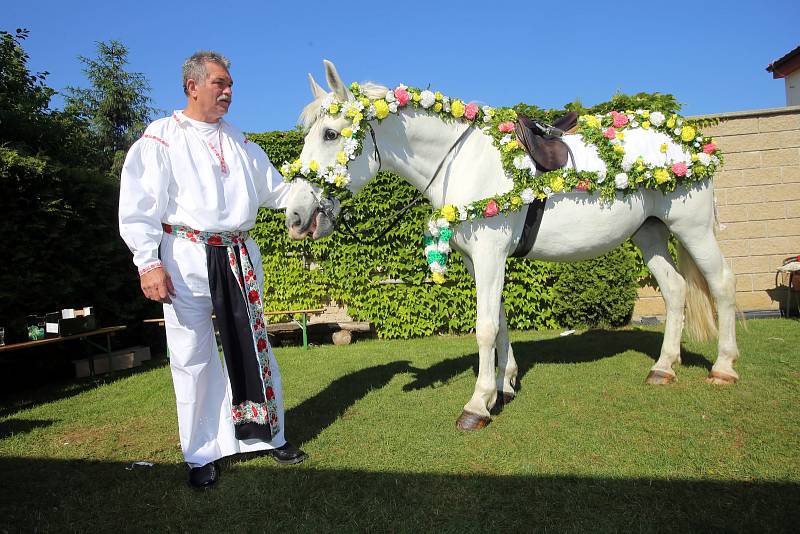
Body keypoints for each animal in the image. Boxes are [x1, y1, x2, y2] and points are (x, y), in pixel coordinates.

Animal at [284, 61, 740, 432]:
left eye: (330, 134)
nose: (295, 217)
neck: (462, 160)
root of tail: (688, 143)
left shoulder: (490, 255)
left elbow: (485, 327)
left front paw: (476, 405)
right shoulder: (481, 261)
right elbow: (500, 321)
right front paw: (504, 385)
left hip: (693, 228)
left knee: (722, 284)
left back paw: (723, 368)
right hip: (649, 232)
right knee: (675, 289)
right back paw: (663, 368)